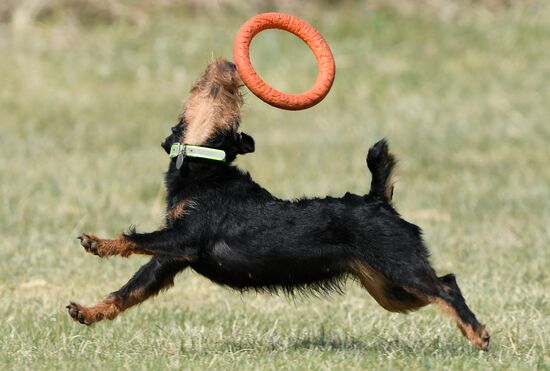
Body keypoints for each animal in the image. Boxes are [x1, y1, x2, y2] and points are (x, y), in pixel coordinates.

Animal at [66, 58, 492, 352]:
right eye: (216, 89)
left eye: (226, 94)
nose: (229, 64)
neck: (205, 166)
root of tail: (377, 201)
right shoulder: (168, 262)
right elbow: (128, 291)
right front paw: (88, 312)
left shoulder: (184, 238)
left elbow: (135, 238)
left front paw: (98, 243)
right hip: (388, 289)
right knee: (438, 289)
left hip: (398, 264)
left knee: (446, 287)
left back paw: (477, 334)